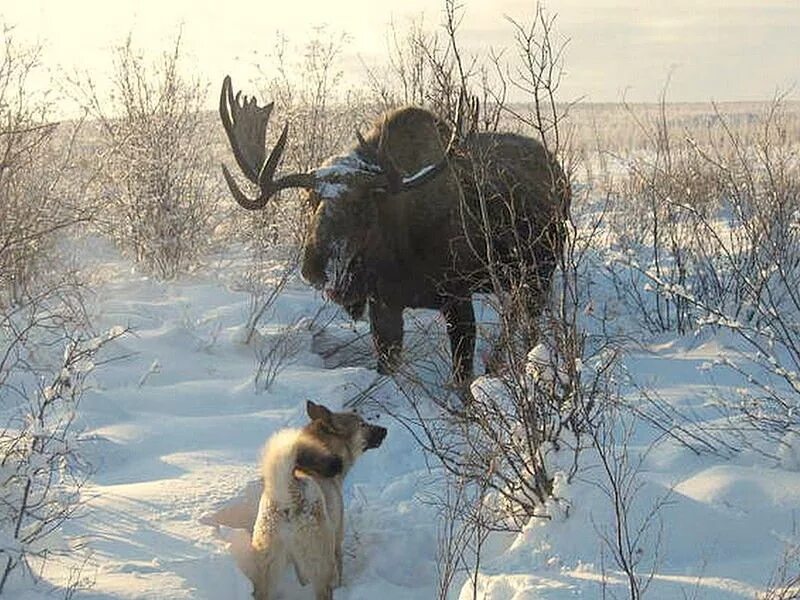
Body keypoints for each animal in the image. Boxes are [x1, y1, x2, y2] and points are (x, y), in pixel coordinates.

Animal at [219, 76, 568, 384]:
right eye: (309, 200)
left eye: (361, 205)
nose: (314, 268)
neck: (399, 252)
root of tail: (556, 167)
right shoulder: (384, 303)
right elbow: (386, 366)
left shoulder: (458, 297)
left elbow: (460, 379)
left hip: (539, 272)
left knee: (526, 322)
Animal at [252, 398, 386, 600]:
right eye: (362, 424)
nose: (385, 429)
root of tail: (289, 494)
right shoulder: (336, 542)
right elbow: (340, 571)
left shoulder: (299, 564)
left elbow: (302, 578)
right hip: (322, 565)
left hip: (267, 571)